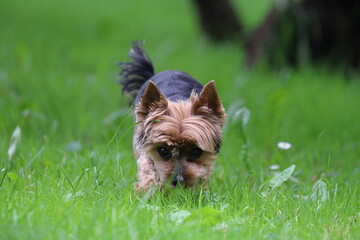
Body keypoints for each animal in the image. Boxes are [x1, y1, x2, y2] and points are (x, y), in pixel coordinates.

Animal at [119, 41, 225, 191]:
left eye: (196, 151)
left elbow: (203, 172)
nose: (179, 180)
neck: (179, 100)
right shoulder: (144, 148)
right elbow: (148, 168)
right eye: (162, 150)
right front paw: (148, 187)